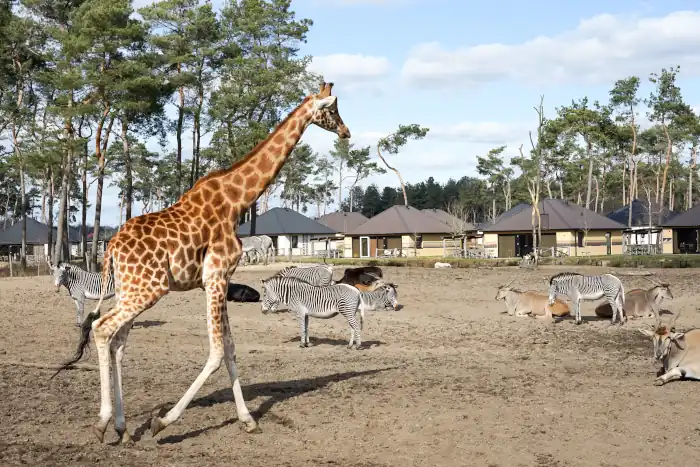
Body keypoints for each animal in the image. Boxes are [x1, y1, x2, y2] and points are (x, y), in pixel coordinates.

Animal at [51, 82, 350, 444]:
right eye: (333, 109)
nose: (346, 132)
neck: (237, 201)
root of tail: (110, 249)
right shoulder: (215, 276)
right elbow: (218, 351)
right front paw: (163, 422)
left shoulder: (220, 279)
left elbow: (231, 348)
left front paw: (248, 419)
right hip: (149, 289)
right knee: (102, 328)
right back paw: (103, 422)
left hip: (129, 288)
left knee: (118, 341)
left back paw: (122, 427)